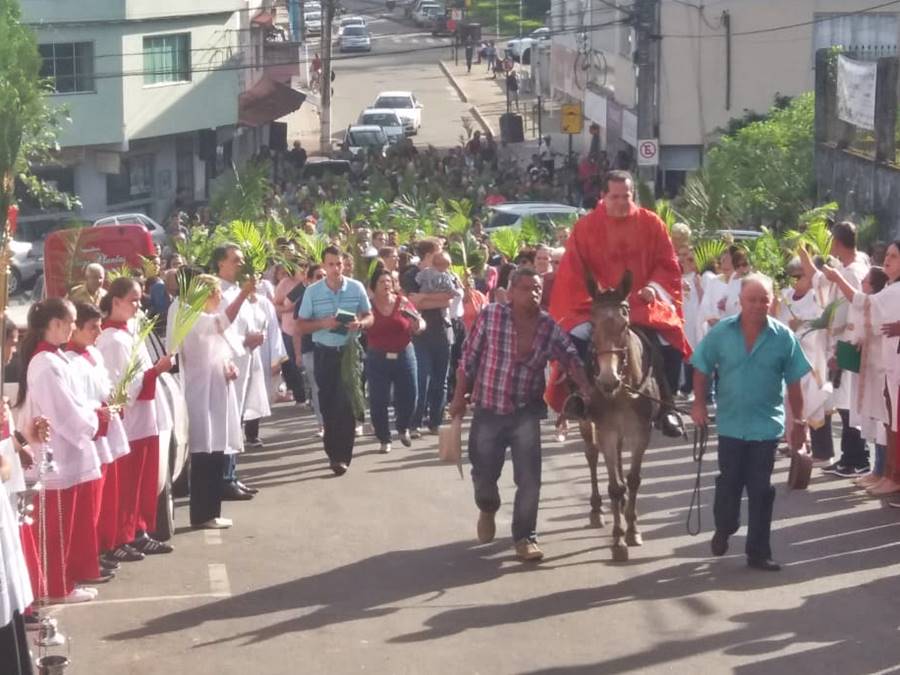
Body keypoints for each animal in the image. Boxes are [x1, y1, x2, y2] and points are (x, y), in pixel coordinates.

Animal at [579, 269, 661, 562]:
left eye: (625, 325)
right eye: (592, 324)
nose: (607, 380)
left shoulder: (641, 431)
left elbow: (634, 481)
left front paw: (633, 529)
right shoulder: (607, 431)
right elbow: (613, 486)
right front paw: (617, 539)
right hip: (587, 423)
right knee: (592, 456)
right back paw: (595, 510)